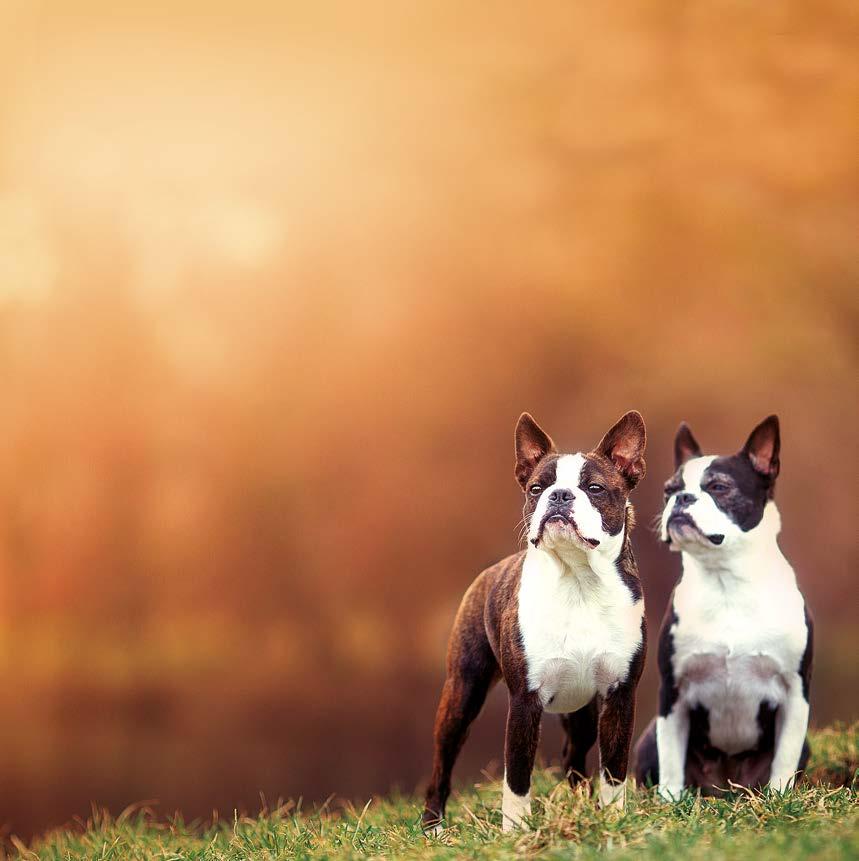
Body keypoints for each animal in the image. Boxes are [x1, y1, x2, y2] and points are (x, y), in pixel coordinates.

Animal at [632, 416, 812, 800]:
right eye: (669, 490)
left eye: (718, 486)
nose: (681, 498)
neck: (725, 580)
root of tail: (725, 789)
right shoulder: (673, 693)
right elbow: (671, 758)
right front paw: (670, 801)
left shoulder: (795, 693)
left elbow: (784, 759)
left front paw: (779, 799)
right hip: (649, 736)